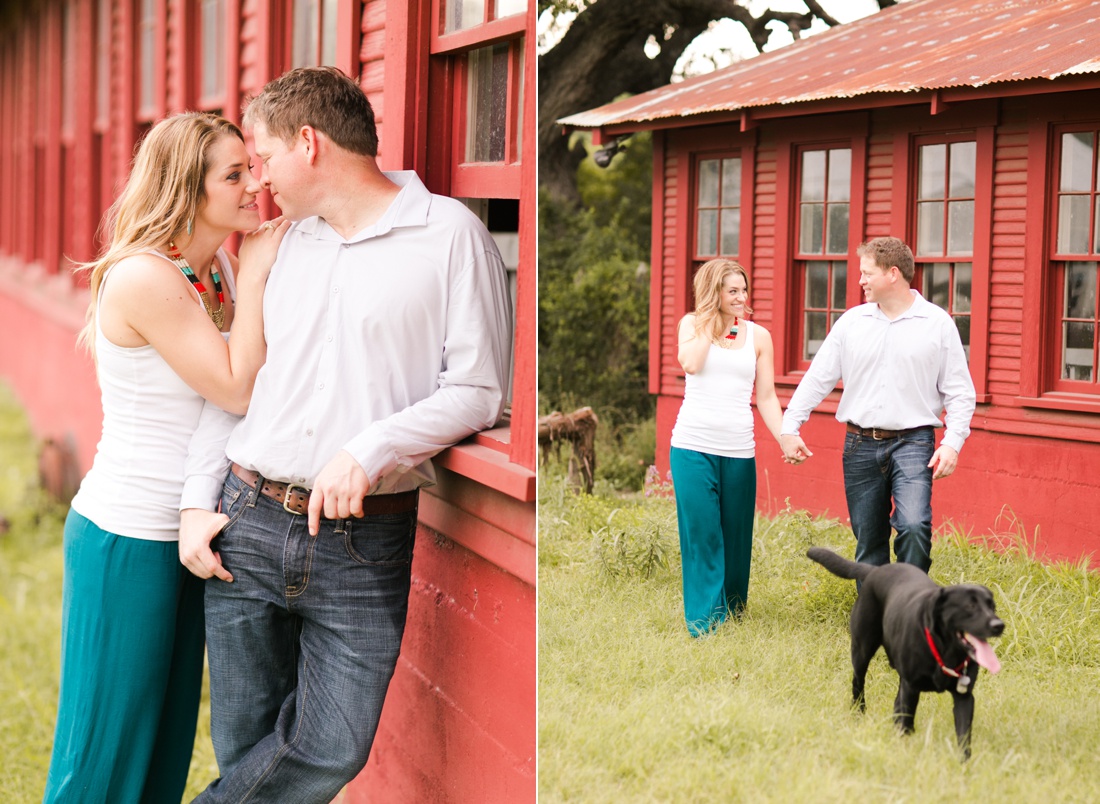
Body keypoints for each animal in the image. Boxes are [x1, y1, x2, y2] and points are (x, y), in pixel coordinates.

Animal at [805, 547, 1003, 761]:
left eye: (992, 606)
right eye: (970, 606)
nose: (999, 625)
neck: (945, 651)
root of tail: (875, 570)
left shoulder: (964, 696)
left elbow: (964, 734)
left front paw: (964, 763)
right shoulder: (911, 687)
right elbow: (907, 721)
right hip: (861, 650)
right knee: (858, 682)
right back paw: (858, 712)